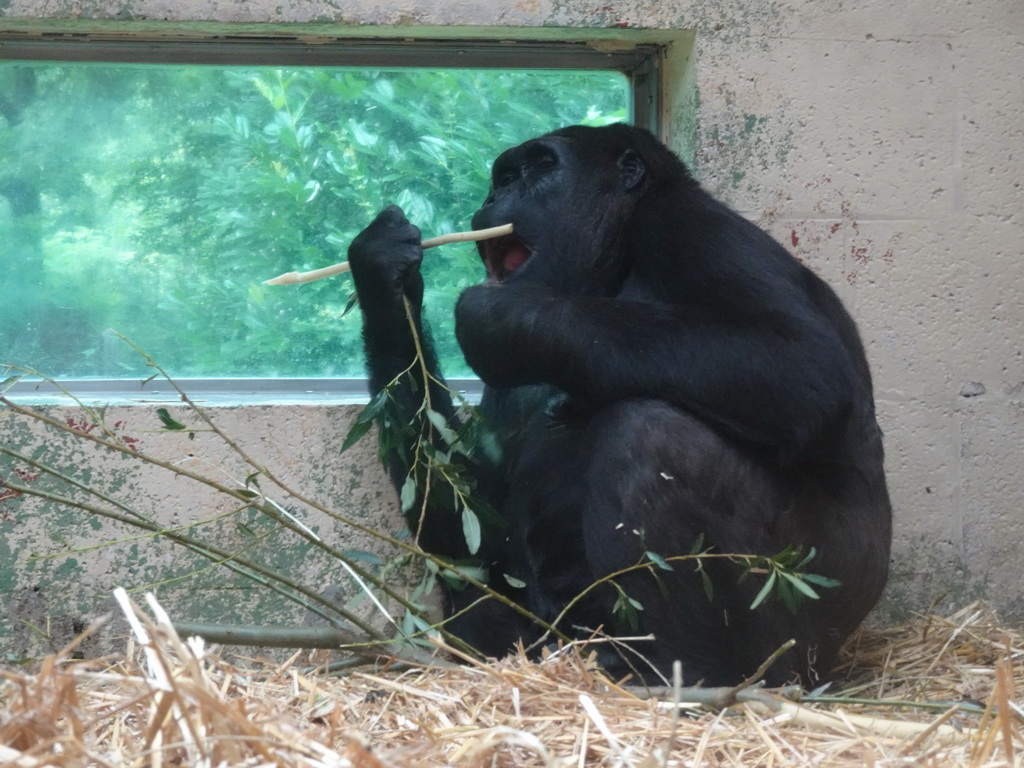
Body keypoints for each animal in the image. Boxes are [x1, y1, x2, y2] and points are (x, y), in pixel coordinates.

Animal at [348, 123, 892, 688]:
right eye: (503, 178)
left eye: (539, 168)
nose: (493, 198)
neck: (612, 265)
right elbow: (475, 524)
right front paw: (382, 273)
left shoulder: (686, 225)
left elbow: (803, 365)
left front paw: (508, 318)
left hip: (800, 630)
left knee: (650, 437)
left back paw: (691, 677)